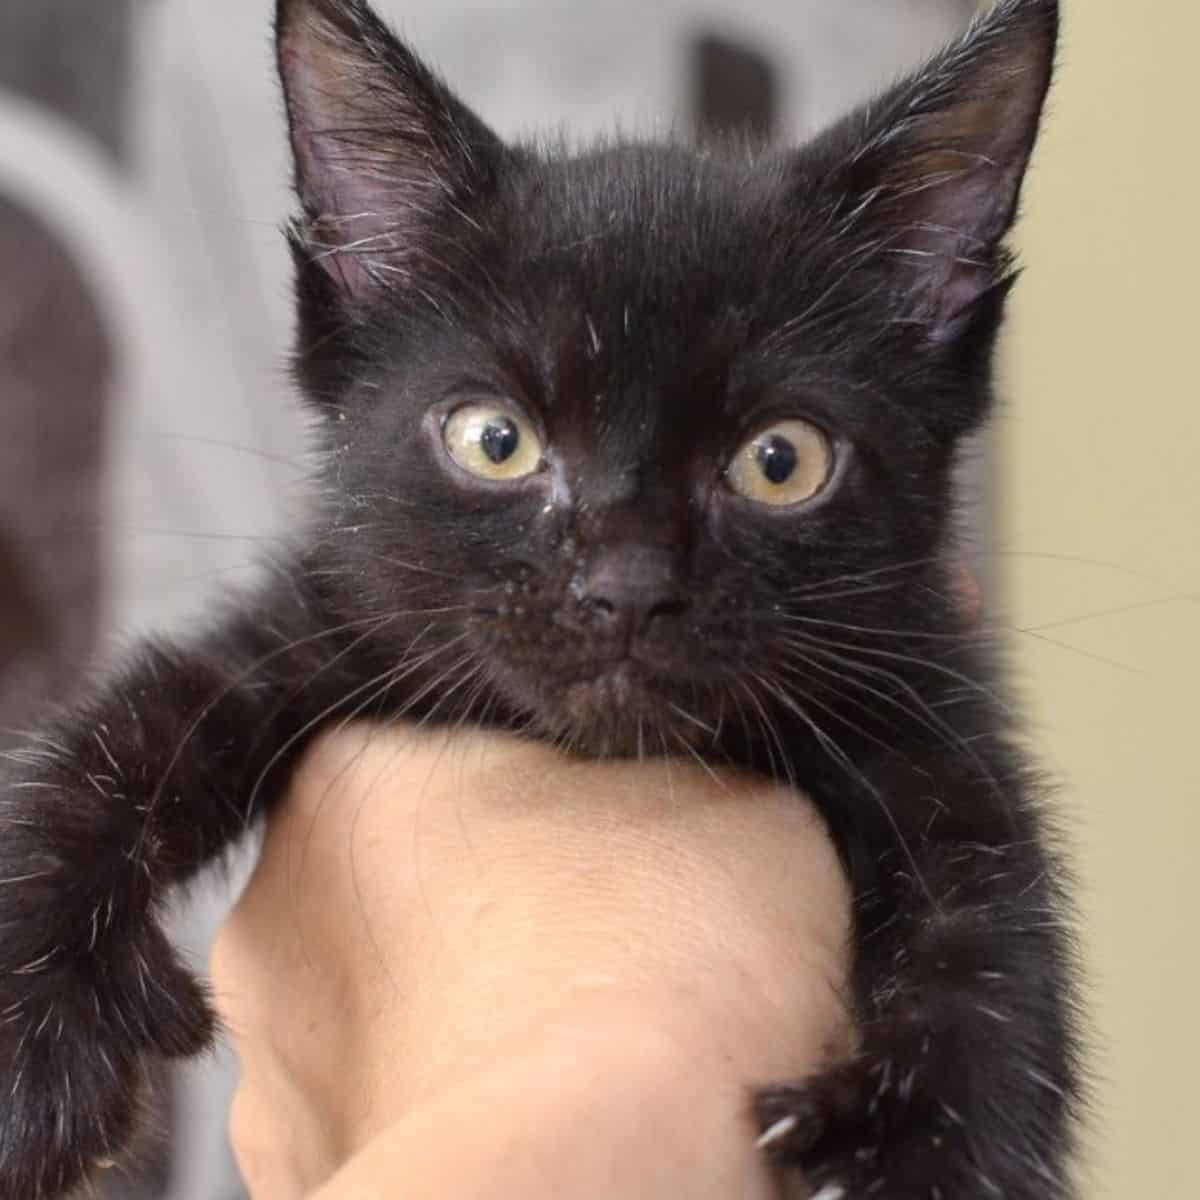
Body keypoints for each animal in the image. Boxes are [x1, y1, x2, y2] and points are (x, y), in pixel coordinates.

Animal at [0, 0, 1084, 1195]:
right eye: (495, 439)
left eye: (781, 461)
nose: (626, 587)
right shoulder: (317, 626)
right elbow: (123, 737)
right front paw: (35, 1037)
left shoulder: (927, 711)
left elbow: (989, 916)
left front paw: (921, 1143)